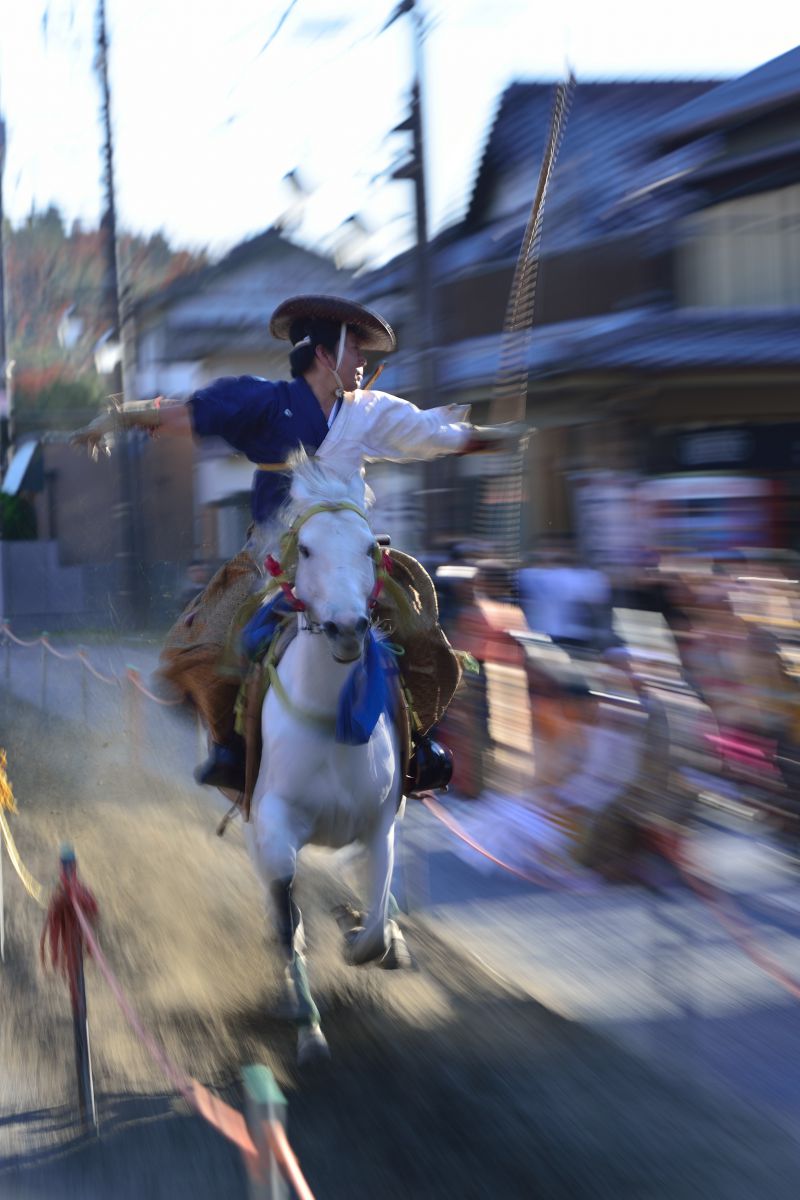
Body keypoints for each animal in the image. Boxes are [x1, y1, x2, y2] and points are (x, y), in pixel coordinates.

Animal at [245, 453, 410, 1065]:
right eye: (309, 549)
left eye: (369, 548)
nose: (346, 627)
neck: (331, 721)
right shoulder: (274, 826)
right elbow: (287, 917)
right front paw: (308, 1027)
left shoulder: (381, 823)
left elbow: (375, 926)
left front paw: (367, 935)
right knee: (282, 914)